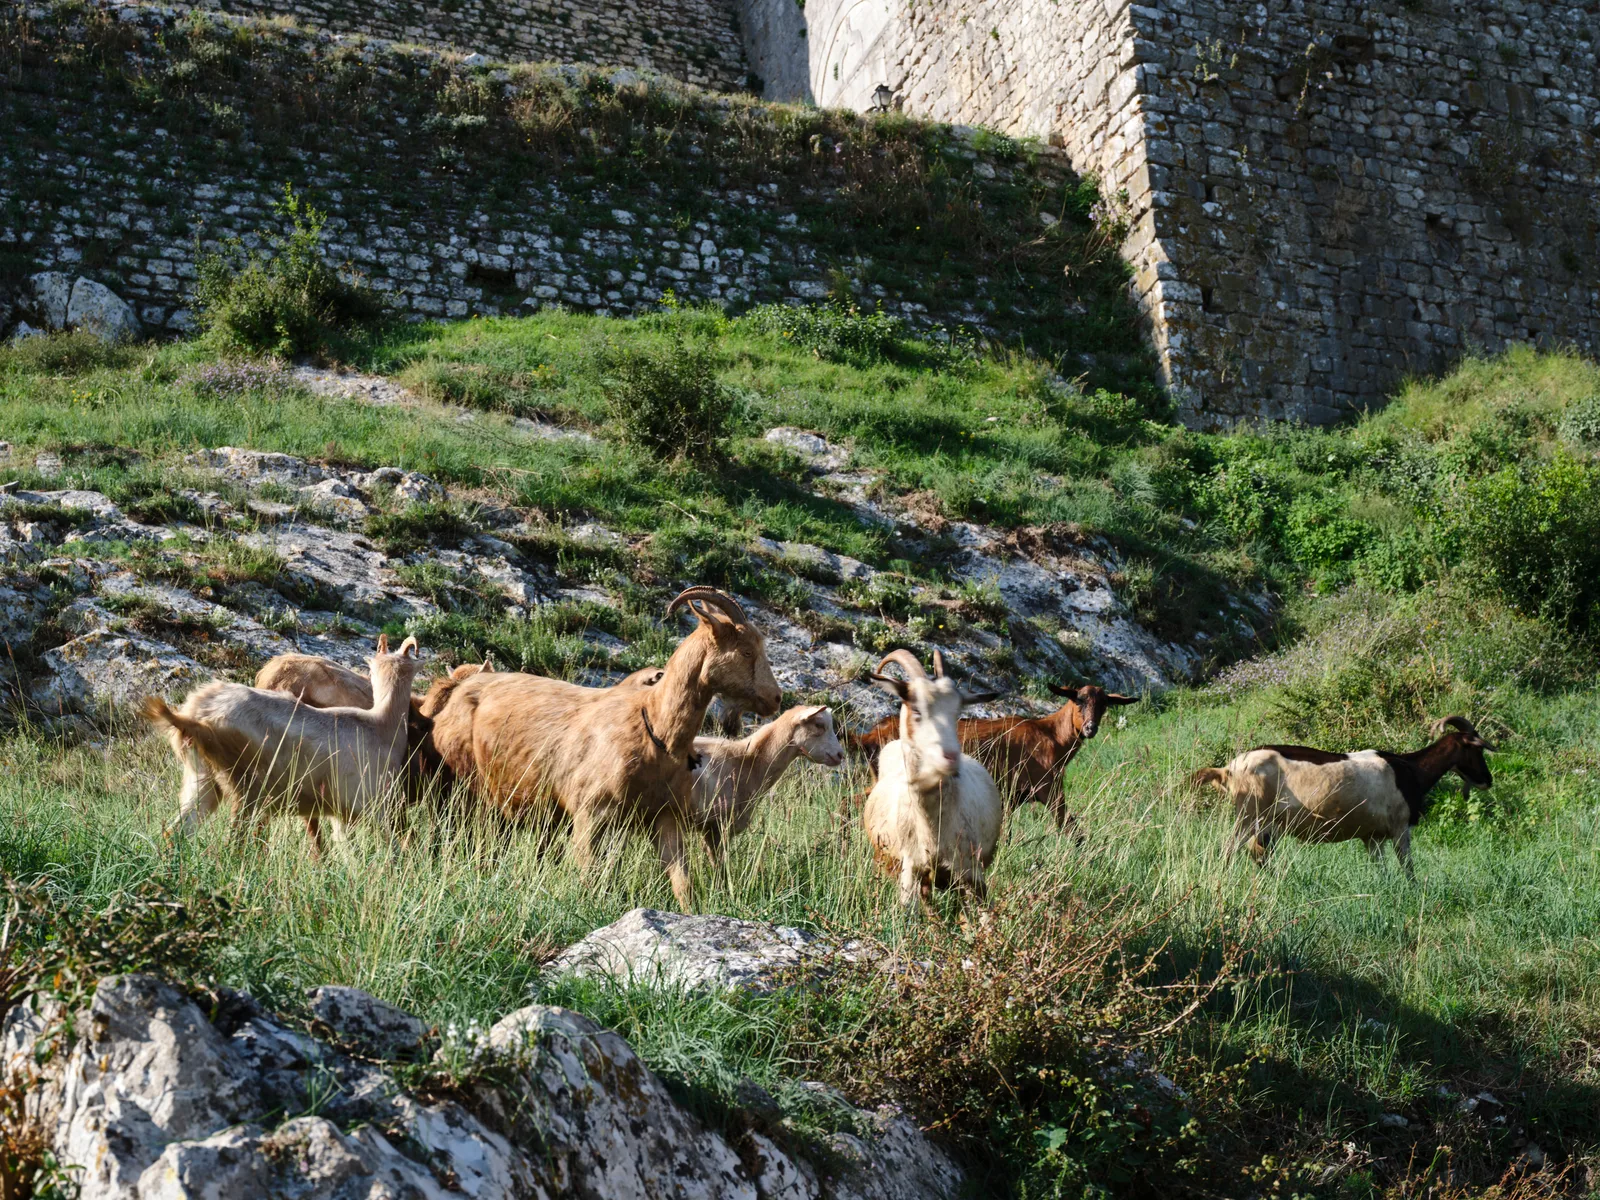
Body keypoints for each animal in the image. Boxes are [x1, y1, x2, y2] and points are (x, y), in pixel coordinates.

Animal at [141, 636, 421, 853]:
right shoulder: (373, 805)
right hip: (249, 788)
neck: (381, 725)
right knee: (234, 843)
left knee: (176, 831)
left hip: (202, 779)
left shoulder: (340, 812)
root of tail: (194, 718)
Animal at [427, 588, 781, 909]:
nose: (775, 698)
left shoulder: (664, 817)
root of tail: (460, 691)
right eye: (746, 651)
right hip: (462, 787)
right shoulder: (590, 813)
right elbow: (587, 876)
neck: (653, 727)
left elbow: (683, 882)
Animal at [847, 681, 1136, 831]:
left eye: (1104, 705)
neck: (1052, 736)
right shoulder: (1048, 788)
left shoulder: (1011, 797)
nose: (1090, 728)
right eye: (1078, 700)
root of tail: (869, 736)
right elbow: (1071, 829)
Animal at [1191, 715, 1496, 876]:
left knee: (1258, 852)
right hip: (1249, 814)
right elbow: (1407, 867)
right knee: (1230, 849)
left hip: (1268, 823)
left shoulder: (1373, 836)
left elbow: (1381, 869)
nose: (1488, 780)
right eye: (1476, 749)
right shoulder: (1400, 827)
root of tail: (1229, 769)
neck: (1410, 769)